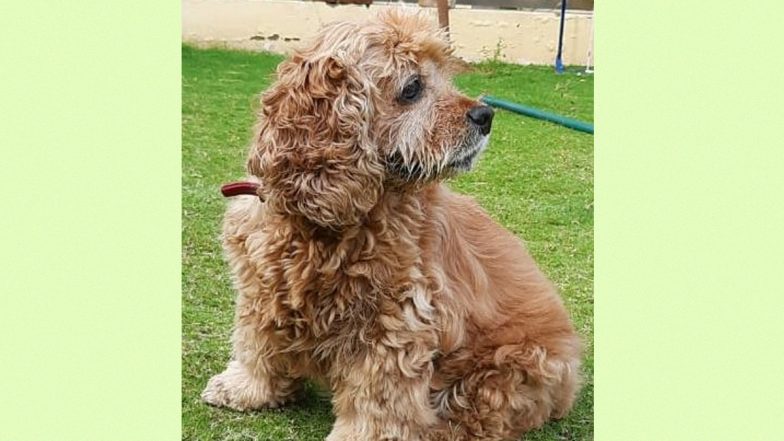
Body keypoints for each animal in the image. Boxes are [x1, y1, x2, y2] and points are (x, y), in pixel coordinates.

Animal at [202, 10, 580, 440]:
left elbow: (379, 394)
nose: (486, 115)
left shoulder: (395, 318)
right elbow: (257, 342)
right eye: (413, 87)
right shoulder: (261, 290)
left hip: (508, 367)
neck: (321, 225)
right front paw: (246, 388)